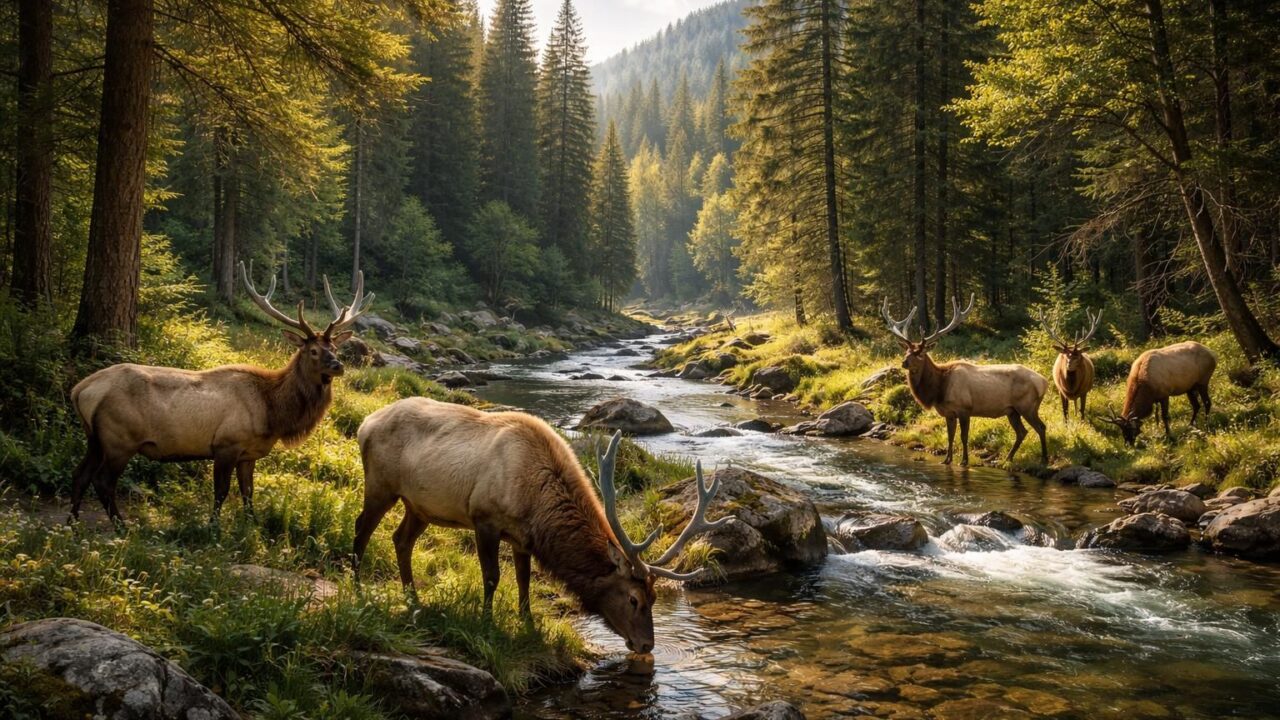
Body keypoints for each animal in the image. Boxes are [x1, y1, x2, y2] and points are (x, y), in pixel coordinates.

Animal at [68, 262, 373, 524]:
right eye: (312, 351)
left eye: (334, 347)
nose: (338, 365)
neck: (272, 412)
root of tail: (81, 389)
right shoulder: (226, 444)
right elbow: (221, 492)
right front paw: (213, 528)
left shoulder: (249, 453)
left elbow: (248, 493)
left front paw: (252, 526)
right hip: (120, 438)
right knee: (103, 481)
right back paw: (121, 526)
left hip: (95, 438)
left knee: (80, 474)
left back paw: (72, 523)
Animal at [353, 400, 727, 654]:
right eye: (634, 599)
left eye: (654, 597)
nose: (646, 645)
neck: (537, 504)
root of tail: (364, 424)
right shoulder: (484, 517)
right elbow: (492, 577)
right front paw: (487, 623)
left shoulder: (522, 538)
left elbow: (524, 580)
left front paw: (529, 624)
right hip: (380, 485)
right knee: (362, 529)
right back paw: (357, 590)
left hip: (419, 506)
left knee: (400, 539)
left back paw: (413, 598)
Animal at [882, 294, 1050, 467]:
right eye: (907, 351)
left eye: (920, 354)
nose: (904, 362)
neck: (939, 389)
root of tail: (1044, 382)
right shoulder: (949, 413)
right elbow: (950, 436)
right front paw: (946, 460)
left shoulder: (964, 409)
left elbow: (963, 436)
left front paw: (964, 461)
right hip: (1012, 410)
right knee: (1022, 432)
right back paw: (1007, 459)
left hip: (1027, 406)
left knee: (1041, 427)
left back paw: (1044, 458)